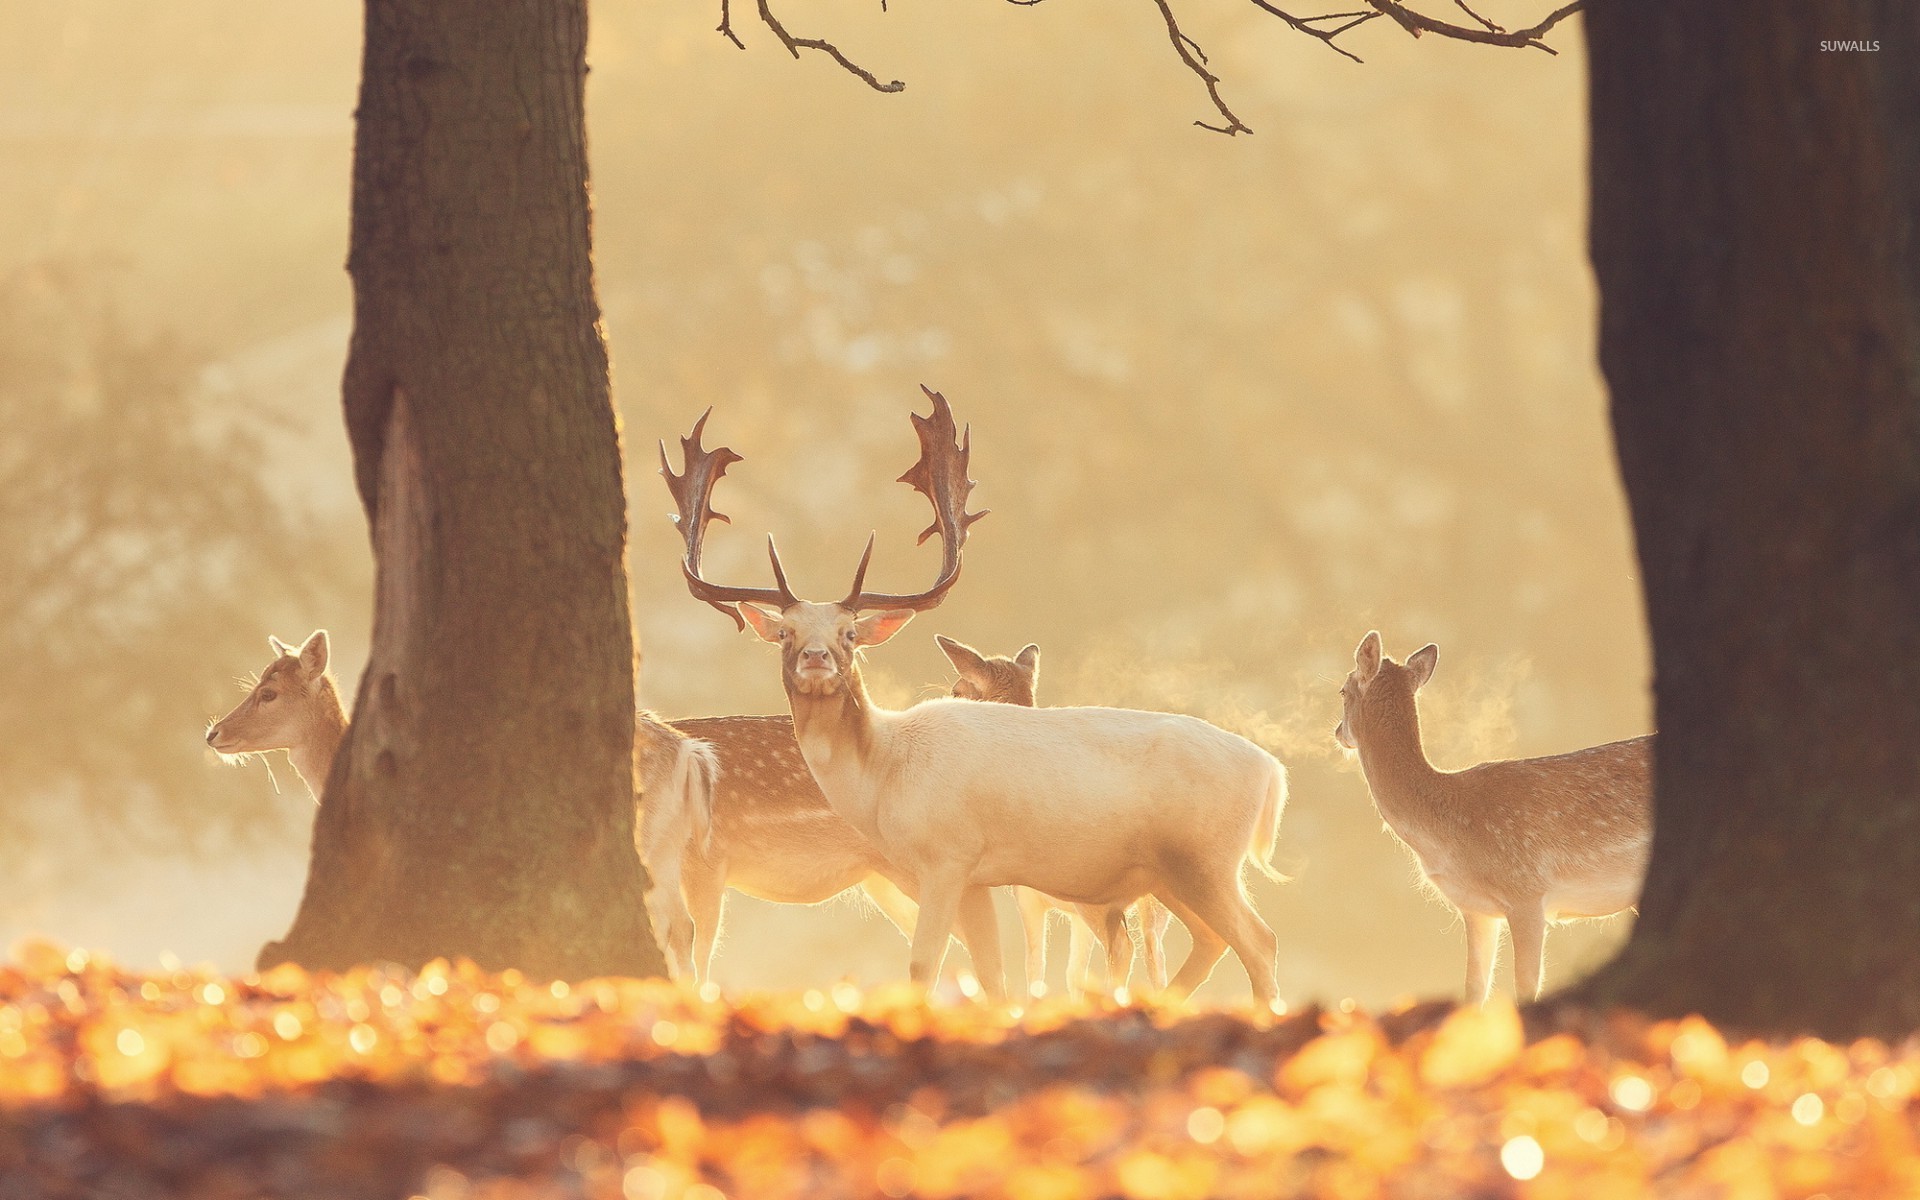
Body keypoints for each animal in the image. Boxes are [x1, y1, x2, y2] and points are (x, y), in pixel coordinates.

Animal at [937, 635, 1174, 999]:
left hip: (1097, 894)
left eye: (957, 690)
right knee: (1156, 956)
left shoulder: (1028, 897)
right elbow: (1073, 974)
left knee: (1124, 949)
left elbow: (1035, 965)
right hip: (1159, 903)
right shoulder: (1069, 914)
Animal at [1333, 631, 1653, 1003]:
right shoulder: (1477, 911)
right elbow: (1473, 991)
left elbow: (1525, 987)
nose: (1337, 731)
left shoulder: (1527, 891)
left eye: (1343, 690)